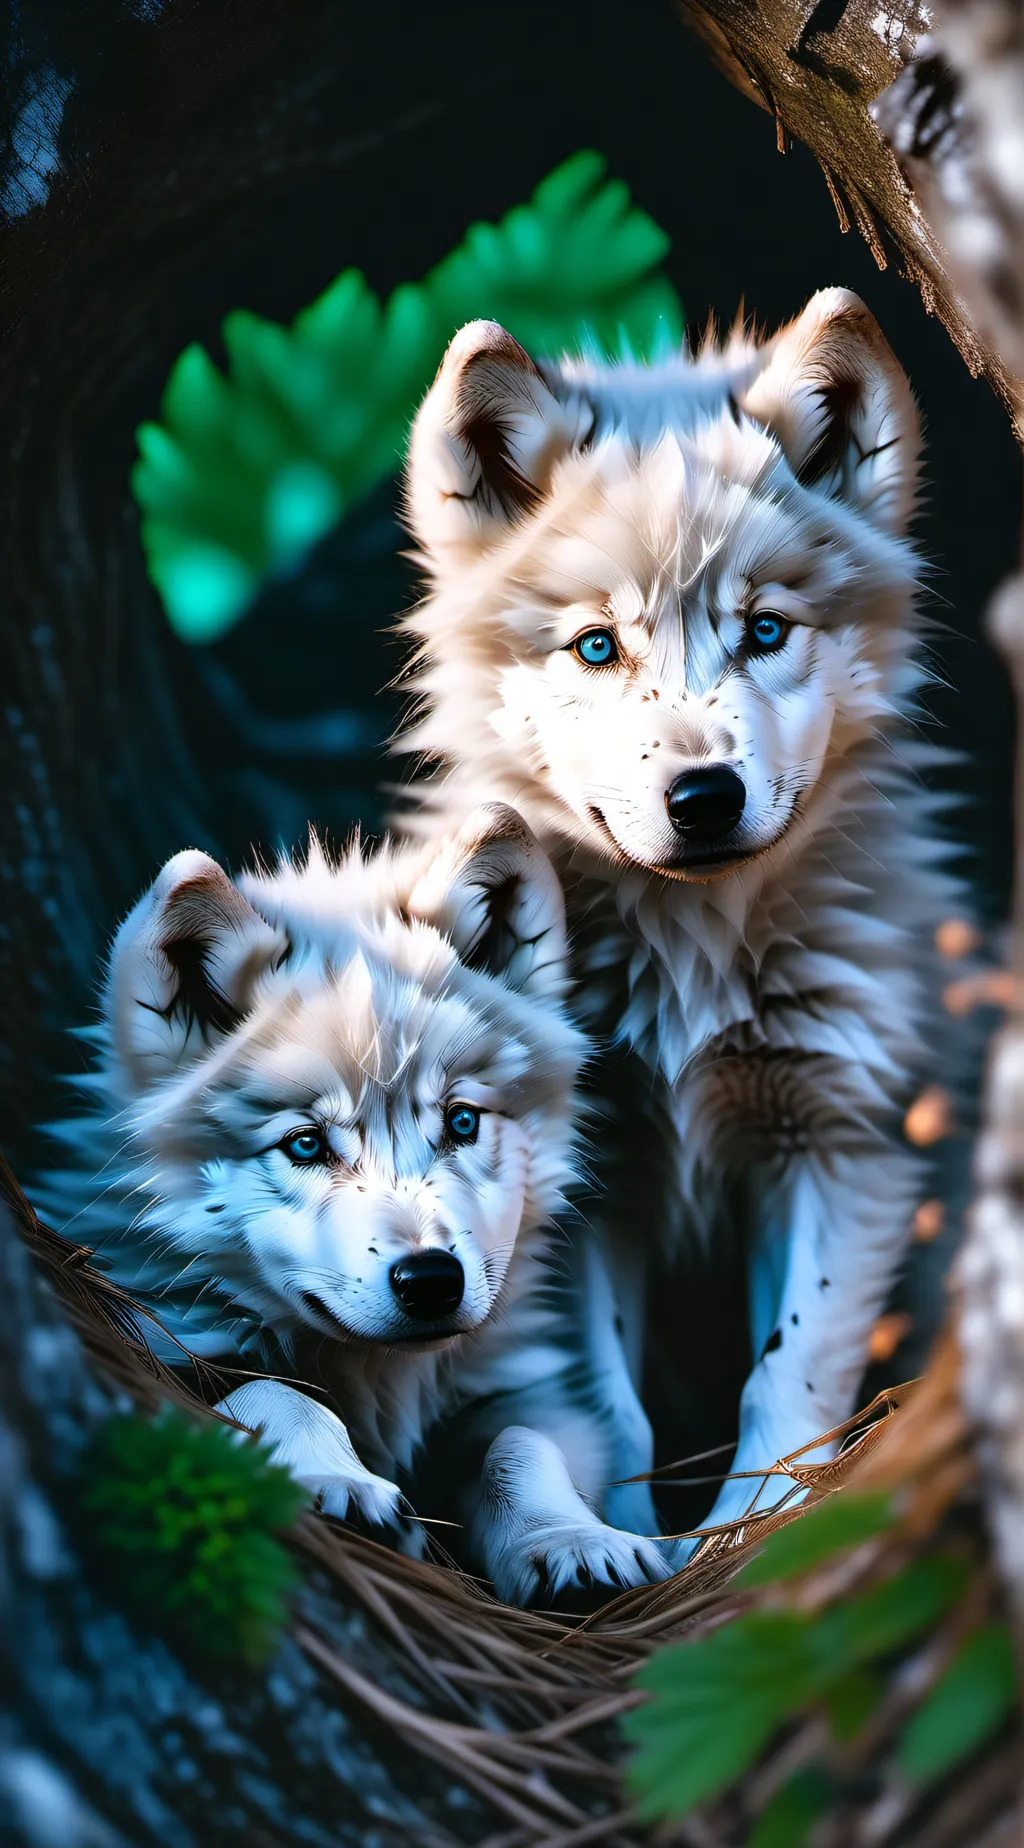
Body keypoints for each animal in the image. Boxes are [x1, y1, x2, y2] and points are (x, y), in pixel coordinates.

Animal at [33, 803, 667, 1602]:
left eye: (462, 1122)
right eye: (306, 1144)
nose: (432, 1281)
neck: (378, 1387)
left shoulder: (512, 1394)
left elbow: (521, 1443)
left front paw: (572, 1541)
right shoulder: (172, 1353)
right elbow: (275, 1395)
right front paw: (343, 1485)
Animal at [397, 290, 959, 1548]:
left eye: (764, 631)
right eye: (598, 646)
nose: (703, 797)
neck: (691, 961)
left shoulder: (841, 1143)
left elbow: (788, 1373)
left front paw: (751, 1538)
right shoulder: (581, 1177)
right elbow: (609, 1401)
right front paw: (622, 1539)